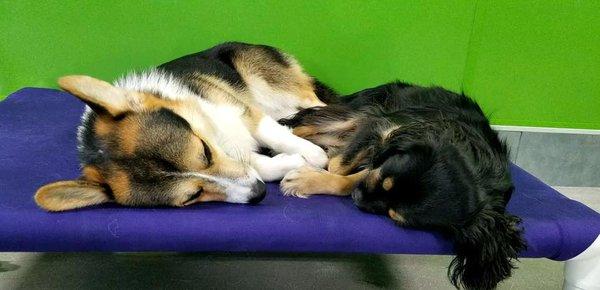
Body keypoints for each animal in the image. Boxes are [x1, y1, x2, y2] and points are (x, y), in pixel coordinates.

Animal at [35, 42, 338, 211]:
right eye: (194, 195)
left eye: (204, 151)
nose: (259, 193)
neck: (216, 137)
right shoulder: (239, 157)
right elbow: (259, 165)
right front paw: (291, 163)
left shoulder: (244, 110)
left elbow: (271, 132)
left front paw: (311, 155)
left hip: (270, 83)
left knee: (315, 105)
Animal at [280, 82, 524, 290]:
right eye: (383, 178)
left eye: (394, 215)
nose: (358, 199)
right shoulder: (382, 124)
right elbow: (338, 166)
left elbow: (348, 175)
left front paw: (311, 179)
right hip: (354, 112)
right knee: (301, 125)